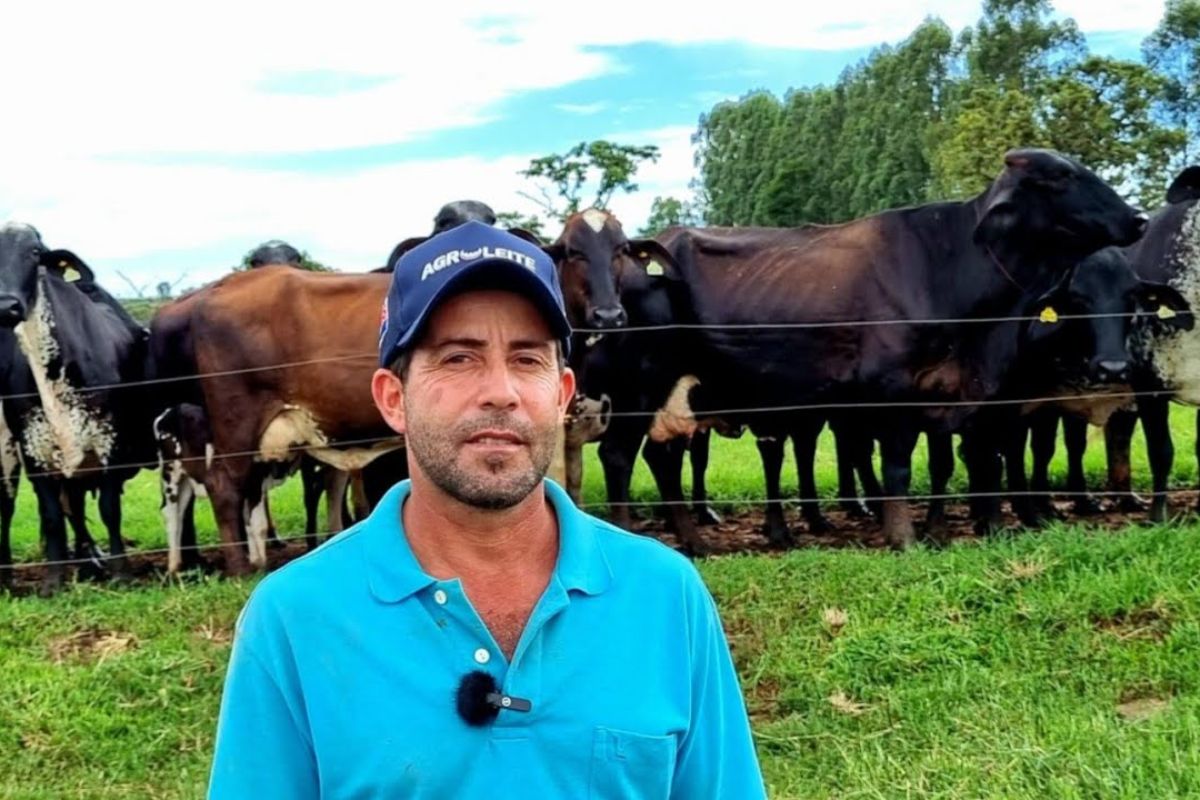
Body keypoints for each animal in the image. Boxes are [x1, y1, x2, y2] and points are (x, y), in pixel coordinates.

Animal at [0, 223, 155, 594]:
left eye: (34, 252)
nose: (6, 306)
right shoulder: (33, 451)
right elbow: (53, 516)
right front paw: (52, 582)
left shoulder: (109, 442)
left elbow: (110, 510)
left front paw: (122, 573)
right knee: (68, 505)